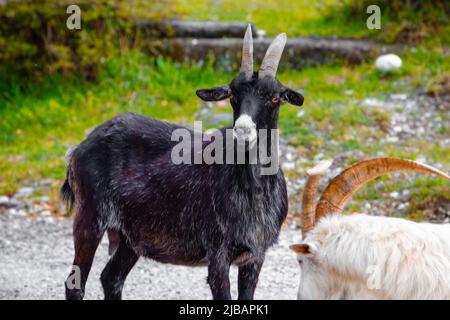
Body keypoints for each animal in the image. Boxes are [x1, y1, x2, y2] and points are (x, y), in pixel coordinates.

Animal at [62, 25, 302, 300]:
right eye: (232, 94)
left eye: (274, 98)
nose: (242, 131)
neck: (253, 189)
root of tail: (81, 147)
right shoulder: (217, 255)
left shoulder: (255, 256)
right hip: (90, 217)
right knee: (75, 283)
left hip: (131, 236)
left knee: (111, 278)